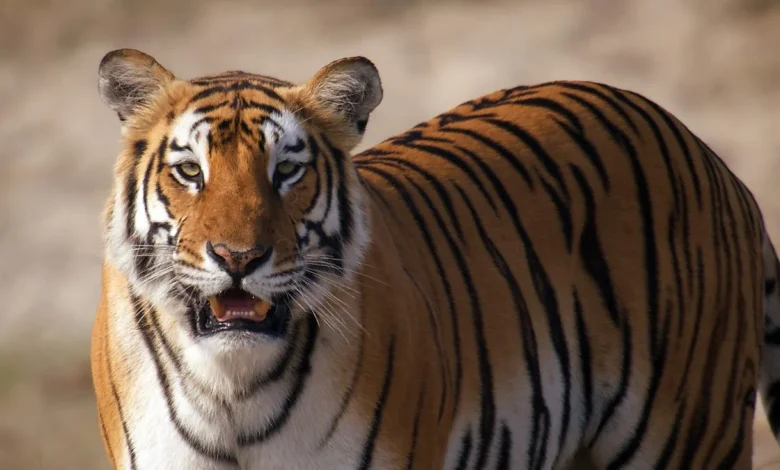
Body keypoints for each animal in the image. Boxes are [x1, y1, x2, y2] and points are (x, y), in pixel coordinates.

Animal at [90, 47, 780, 470]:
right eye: (190, 171)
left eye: (286, 171)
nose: (239, 257)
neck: (233, 388)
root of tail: (708, 155)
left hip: (690, 433)